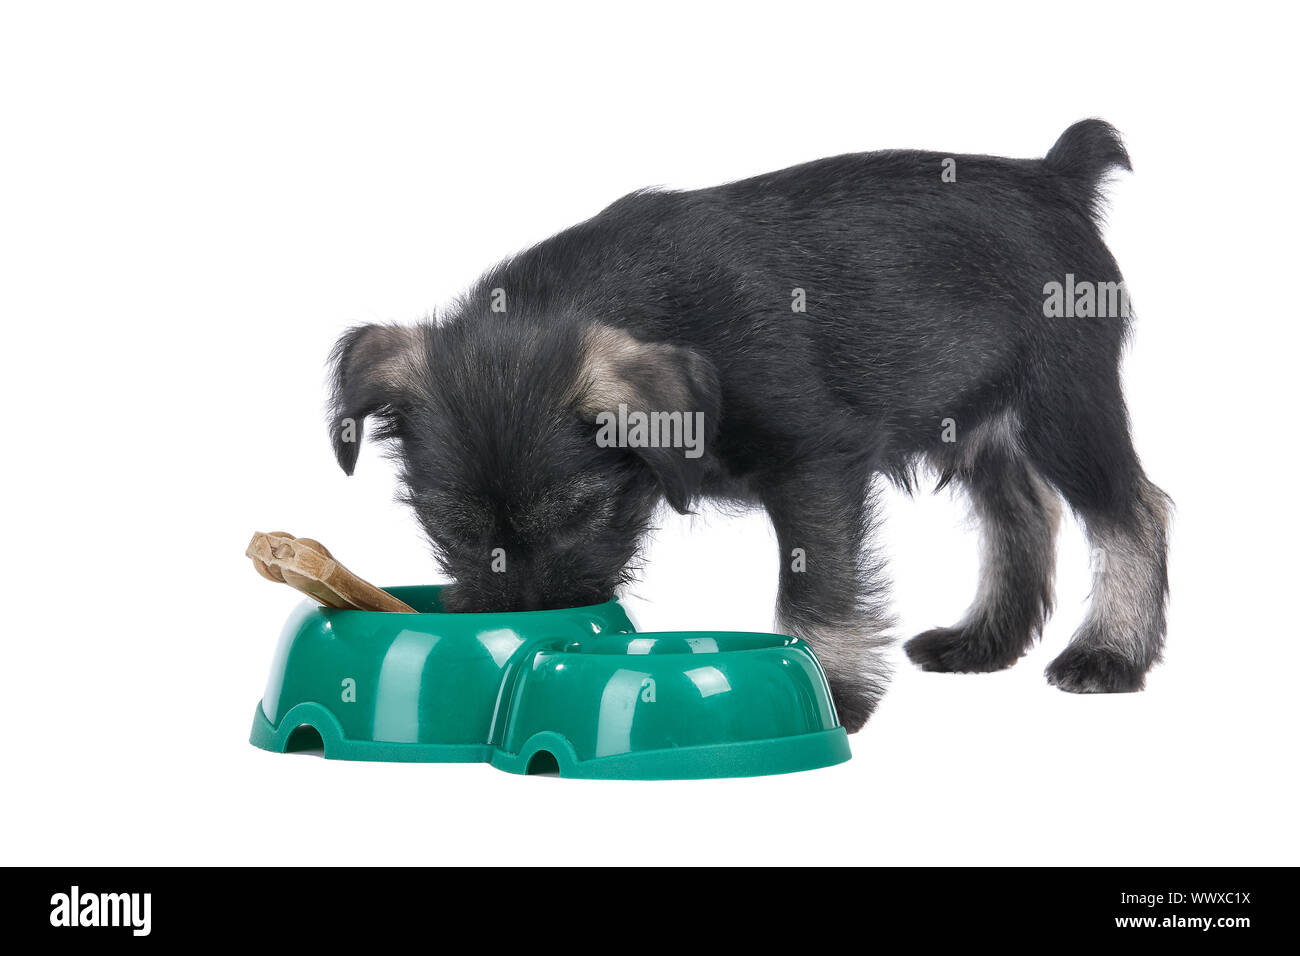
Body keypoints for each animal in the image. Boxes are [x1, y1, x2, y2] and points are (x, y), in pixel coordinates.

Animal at [325, 121, 1170, 733]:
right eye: (448, 527)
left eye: (582, 515)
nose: (524, 624)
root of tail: (1055, 176)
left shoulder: (815, 467)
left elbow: (816, 590)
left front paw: (831, 691)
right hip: (973, 419)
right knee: (1022, 515)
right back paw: (984, 642)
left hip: (1063, 404)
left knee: (1131, 512)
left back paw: (1110, 654)